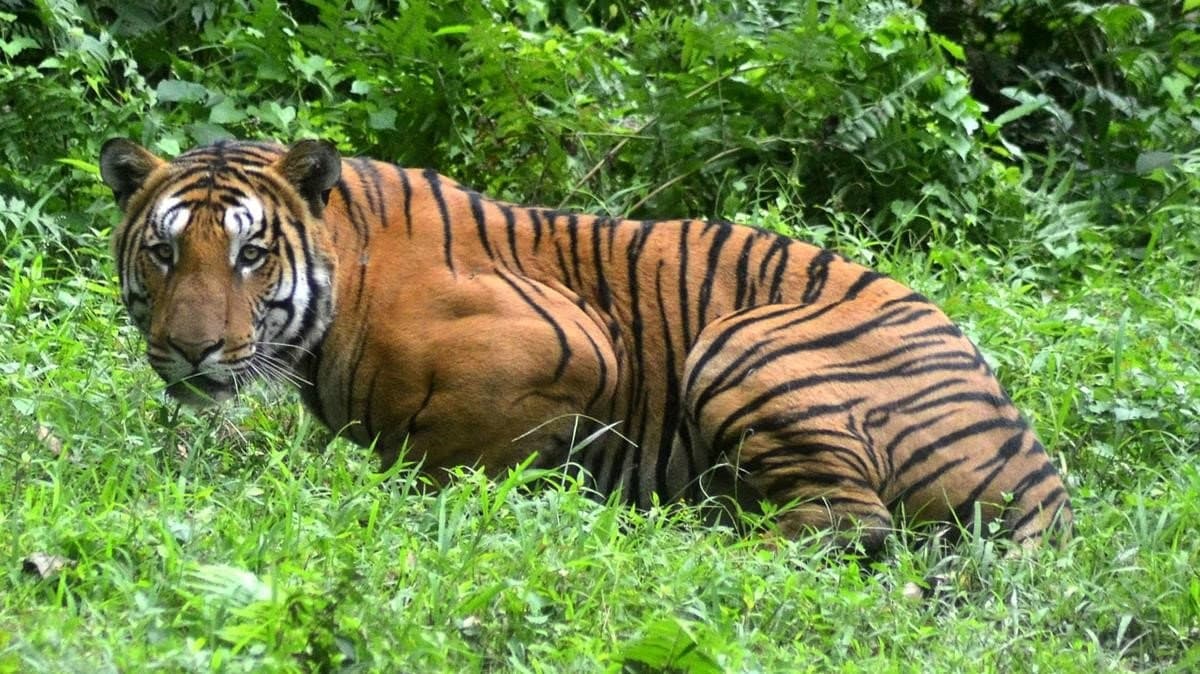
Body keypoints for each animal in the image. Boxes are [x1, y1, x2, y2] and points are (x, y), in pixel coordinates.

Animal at [99, 137, 1072, 554]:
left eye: (251, 255)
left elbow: (450, 458)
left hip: (743, 341)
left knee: (844, 528)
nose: (190, 351)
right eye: (164, 250)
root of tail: (1041, 475)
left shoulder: (571, 344)